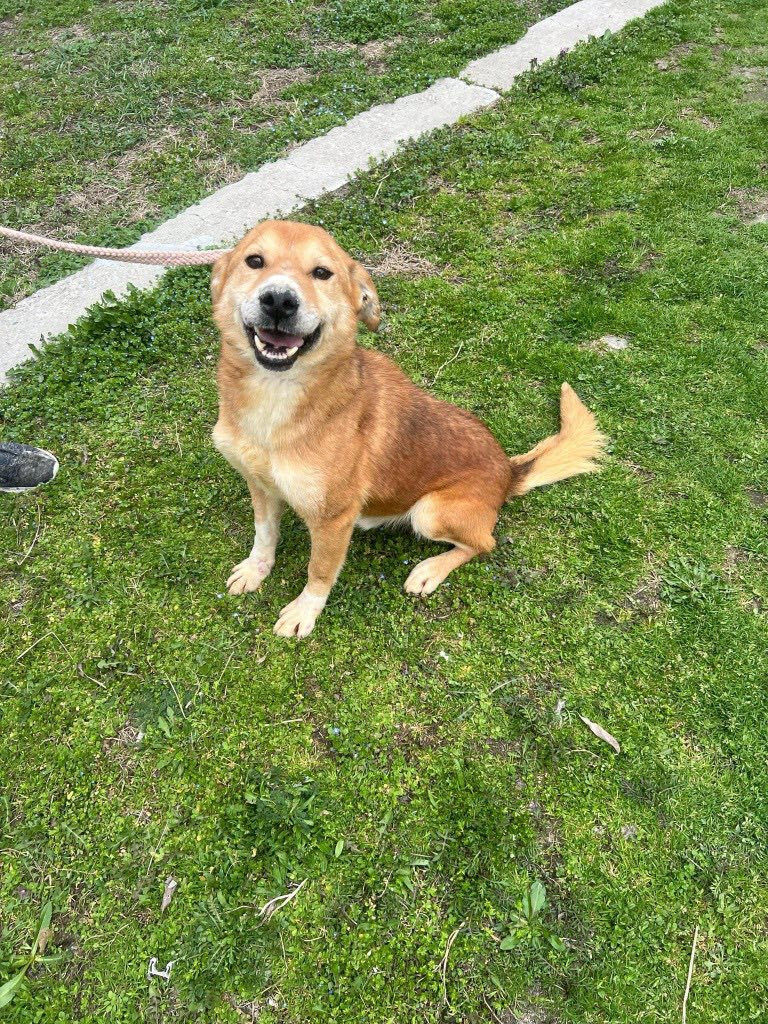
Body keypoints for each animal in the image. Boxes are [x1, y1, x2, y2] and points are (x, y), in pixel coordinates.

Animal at [211, 220, 605, 638]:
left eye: (321, 272)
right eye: (255, 261)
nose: (279, 301)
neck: (274, 397)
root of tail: (508, 472)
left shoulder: (333, 519)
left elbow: (319, 571)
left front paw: (305, 611)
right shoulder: (260, 485)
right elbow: (264, 534)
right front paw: (256, 569)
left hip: (430, 512)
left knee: (485, 543)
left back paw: (429, 571)